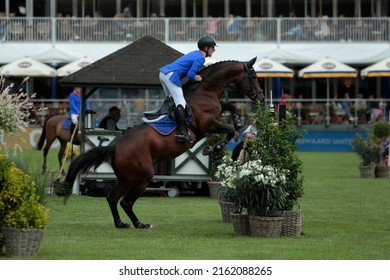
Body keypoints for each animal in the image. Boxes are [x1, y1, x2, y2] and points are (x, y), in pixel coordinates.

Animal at [57, 57, 266, 230]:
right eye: (254, 76)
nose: (262, 97)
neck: (205, 90)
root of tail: (116, 146)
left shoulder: (215, 117)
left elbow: (229, 108)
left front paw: (237, 122)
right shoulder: (207, 124)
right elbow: (229, 130)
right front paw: (213, 147)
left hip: (126, 178)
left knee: (113, 198)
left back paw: (121, 223)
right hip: (143, 176)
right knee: (126, 201)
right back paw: (140, 224)